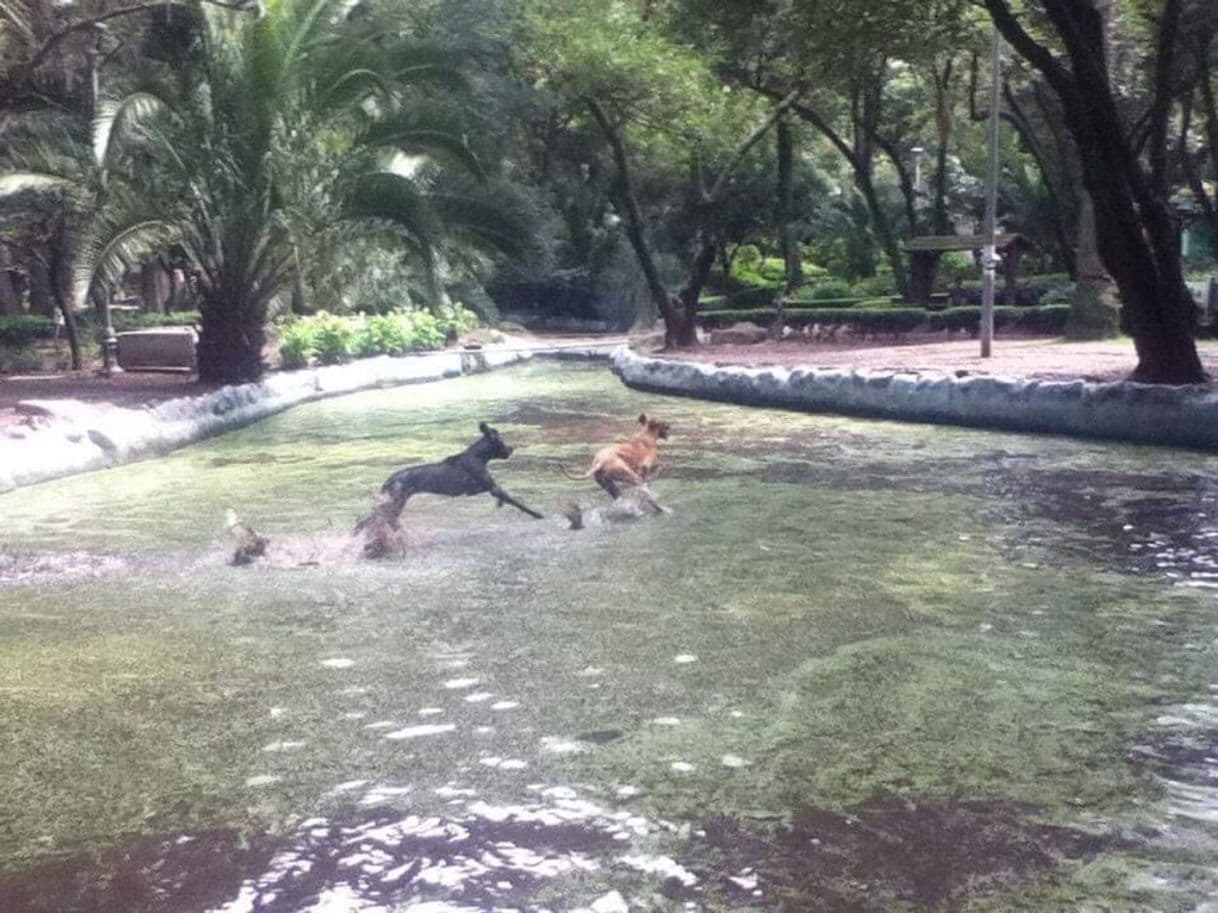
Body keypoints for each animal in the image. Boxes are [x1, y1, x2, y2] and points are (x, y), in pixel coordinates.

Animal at [355, 423, 540, 557]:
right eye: (501, 441)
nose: (511, 449)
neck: (478, 456)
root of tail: (390, 480)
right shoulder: (490, 486)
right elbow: (516, 501)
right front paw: (537, 514)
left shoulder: (480, 489)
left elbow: (504, 496)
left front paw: (500, 503)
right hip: (394, 505)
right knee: (370, 521)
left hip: (393, 507)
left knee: (369, 521)